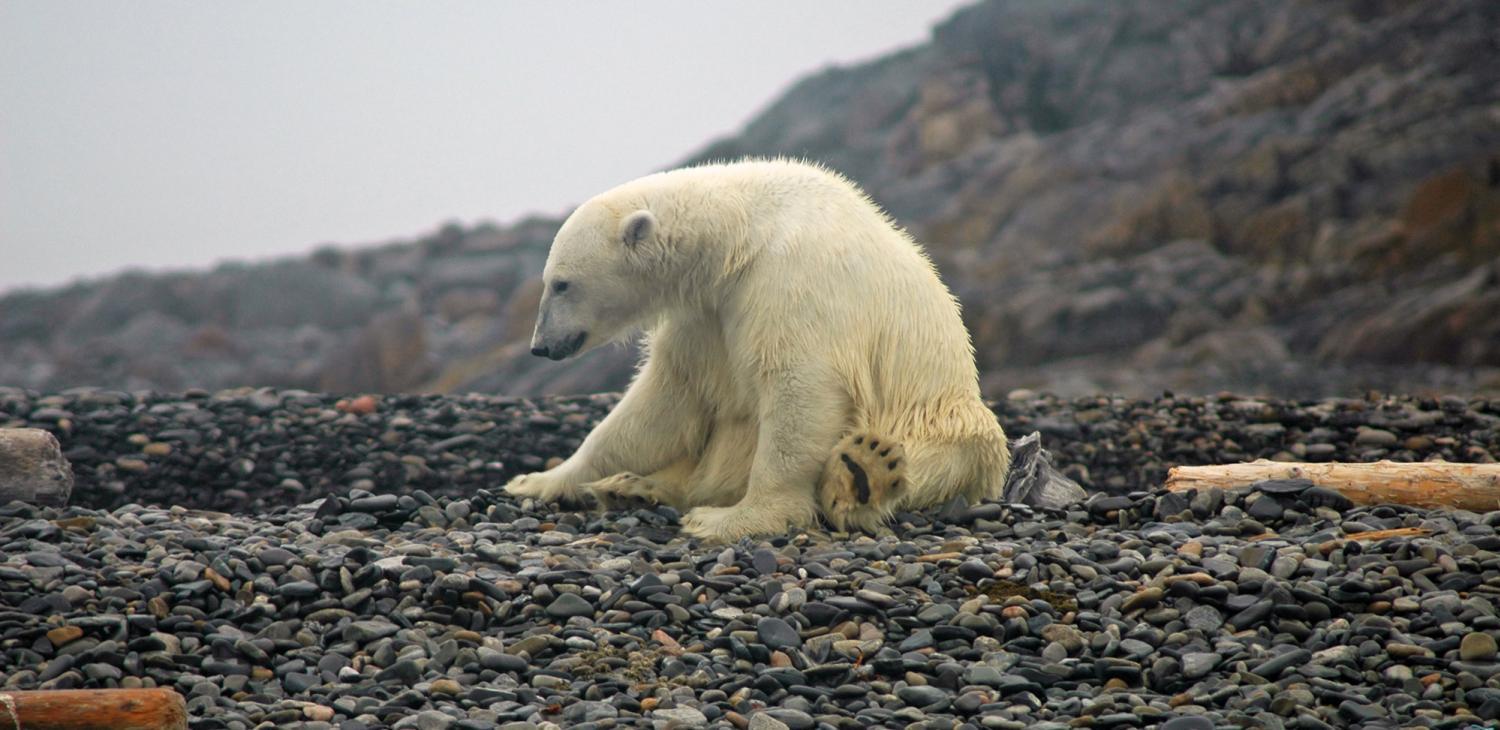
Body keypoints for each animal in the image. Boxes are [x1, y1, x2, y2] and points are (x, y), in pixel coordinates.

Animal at [504, 157, 1008, 539]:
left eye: (561, 284)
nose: (540, 346)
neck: (741, 231)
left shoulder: (791, 279)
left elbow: (800, 387)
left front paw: (734, 519)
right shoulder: (706, 309)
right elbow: (666, 402)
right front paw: (539, 480)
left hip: (947, 423)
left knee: (941, 458)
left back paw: (862, 473)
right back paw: (631, 488)